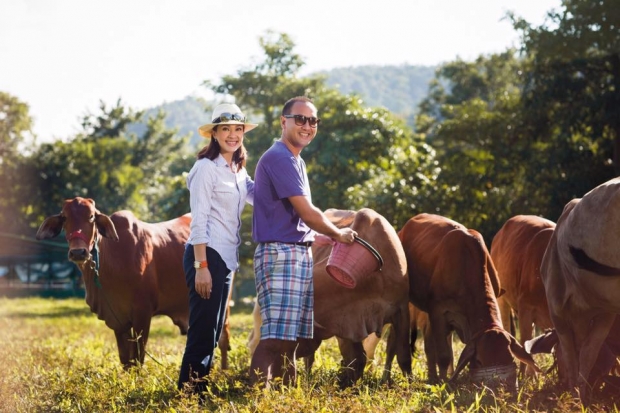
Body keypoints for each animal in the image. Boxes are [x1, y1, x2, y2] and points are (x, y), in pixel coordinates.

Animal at [35, 196, 194, 366]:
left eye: (91, 217)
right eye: (64, 217)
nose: (78, 252)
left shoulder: (143, 314)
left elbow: (138, 359)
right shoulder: (118, 320)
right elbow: (126, 360)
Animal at [540, 177, 620, 402]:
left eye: (554, 356)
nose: (559, 384)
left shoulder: (556, 310)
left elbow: (575, 355)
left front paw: (576, 395)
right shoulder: (607, 313)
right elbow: (588, 352)